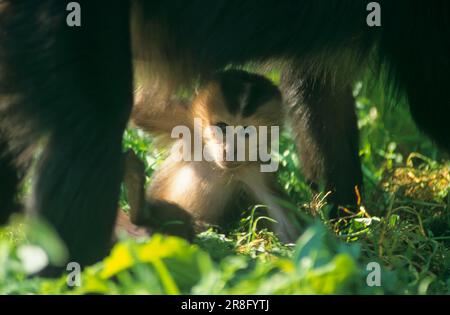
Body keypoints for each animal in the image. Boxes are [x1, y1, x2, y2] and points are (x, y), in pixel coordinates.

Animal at [121, 71, 300, 242]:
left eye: (246, 132)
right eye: (222, 127)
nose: (229, 150)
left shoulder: (256, 171)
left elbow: (287, 229)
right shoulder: (184, 121)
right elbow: (140, 109)